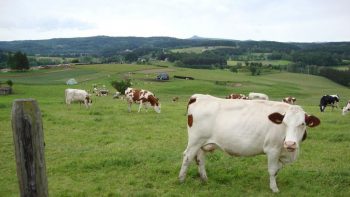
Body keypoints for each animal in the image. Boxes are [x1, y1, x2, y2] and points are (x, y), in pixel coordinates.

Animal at [180, 94, 320, 192]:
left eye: (302, 124)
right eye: (284, 123)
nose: (290, 144)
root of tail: (198, 96)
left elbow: (277, 170)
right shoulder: (273, 149)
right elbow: (272, 170)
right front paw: (274, 188)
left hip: (202, 144)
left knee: (200, 159)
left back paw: (204, 179)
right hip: (195, 141)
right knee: (187, 157)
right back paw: (181, 179)